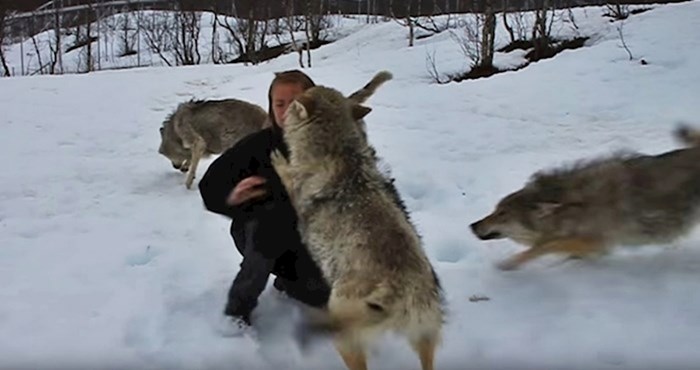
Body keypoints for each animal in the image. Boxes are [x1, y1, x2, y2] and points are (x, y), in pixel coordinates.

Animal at [270, 72, 446, 370]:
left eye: (291, 103)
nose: (284, 111)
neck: (340, 151)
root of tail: (400, 294)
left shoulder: (296, 188)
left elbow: (286, 172)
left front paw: (278, 159)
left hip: (344, 333)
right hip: (424, 335)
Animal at [470, 123, 700, 270]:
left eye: (502, 214)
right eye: (494, 210)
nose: (472, 225)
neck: (573, 204)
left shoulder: (596, 241)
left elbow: (544, 246)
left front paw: (509, 264)